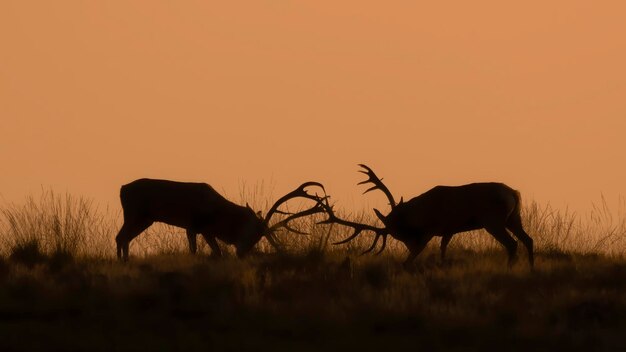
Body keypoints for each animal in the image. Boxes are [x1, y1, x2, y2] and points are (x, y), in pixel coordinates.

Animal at [115, 180, 326, 260]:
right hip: (135, 214)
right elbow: (194, 250)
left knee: (123, 237)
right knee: (120, 237)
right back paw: (122, 262)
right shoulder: (194, 225)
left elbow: (218, 252)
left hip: (145, 218)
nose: (241, 253)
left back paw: (125, 260)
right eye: (254, 232)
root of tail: (122, 189)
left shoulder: (207, 231)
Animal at [322, 165, 532, 270]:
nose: (408, 242)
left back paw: (509, 269)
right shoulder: (448, 229)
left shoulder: (431, 228)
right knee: (528, 239)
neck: (420, 213)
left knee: (512, 244)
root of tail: (514, 193)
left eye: (396, 229)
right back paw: (531, 269)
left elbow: (417, 253)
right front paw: (442, 266)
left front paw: (407, 265)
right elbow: (443, 250)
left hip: (493, 220)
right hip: (513, 218)